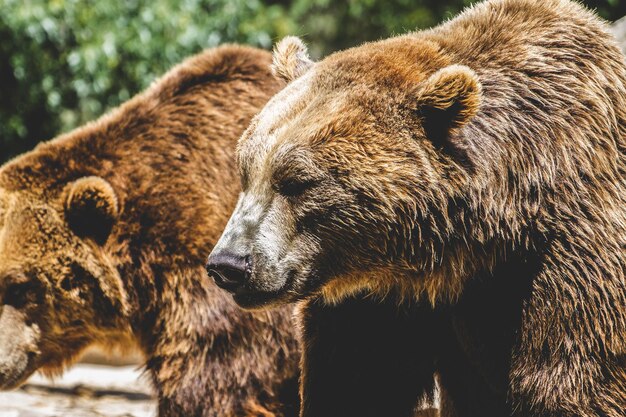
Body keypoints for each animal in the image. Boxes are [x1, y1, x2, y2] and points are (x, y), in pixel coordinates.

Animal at [207, 0, 624, 416]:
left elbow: (572, 381)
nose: (228, 264)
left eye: (296, 181)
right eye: (246, 172)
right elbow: (355, 381)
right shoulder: (382, 296)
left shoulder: (569, 254)